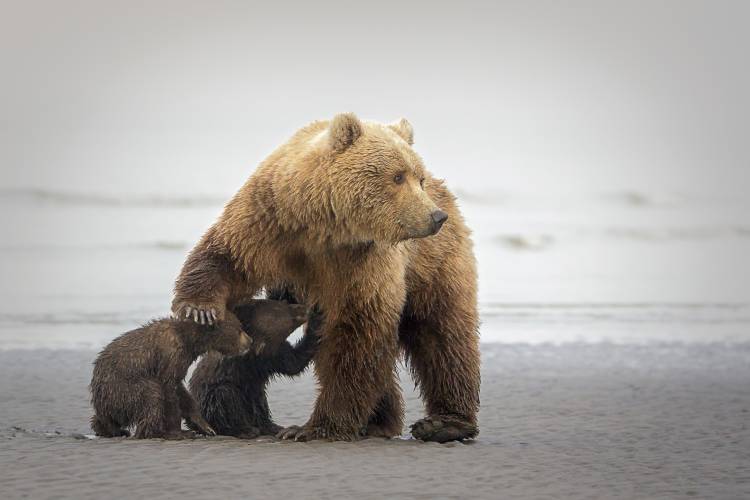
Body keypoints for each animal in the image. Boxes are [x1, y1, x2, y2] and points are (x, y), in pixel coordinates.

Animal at [174, 114, 482, 442]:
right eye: (398, 176)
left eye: (418, 178)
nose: (435, 217)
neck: (325, 225)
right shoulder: (271, 219)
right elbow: (229, 256)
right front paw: (200, 309)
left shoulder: (362, 261)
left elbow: (356, 330)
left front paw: (315, 427)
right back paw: (379, 421)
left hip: (434, 263)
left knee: (443, 335)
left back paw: (444, 423)